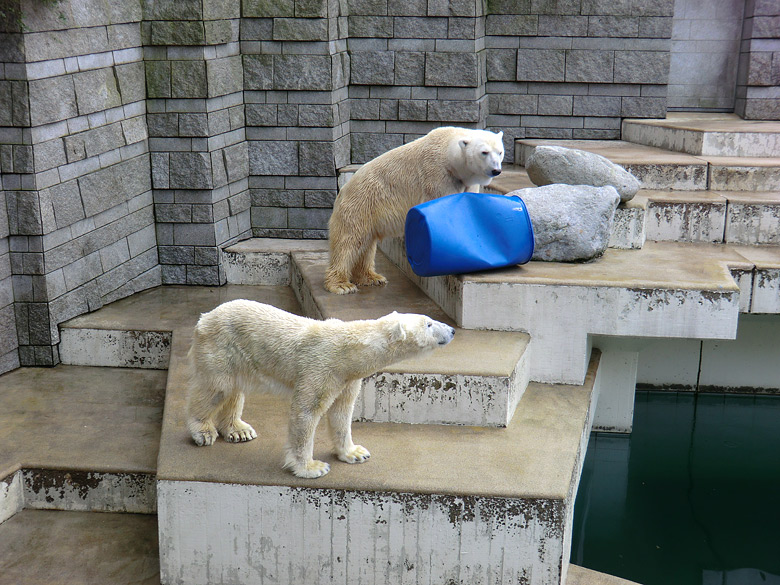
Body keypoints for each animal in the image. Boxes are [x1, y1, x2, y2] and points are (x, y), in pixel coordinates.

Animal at [186, 302, 454, 480]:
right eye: (429, 323)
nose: (451, 330)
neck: (349, 351)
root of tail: (204, 317)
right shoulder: (321, 367)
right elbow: (305, 412)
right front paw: (312, 467)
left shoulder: (346, 378)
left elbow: (342, 412)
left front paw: (355, 453)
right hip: (221, 347)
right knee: (216, 388)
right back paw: (203, 431)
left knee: (234, 389)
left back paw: (238, 430)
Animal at [322, 126, 506, 294]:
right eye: (484, 152)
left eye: (500, 152)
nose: (496, 170)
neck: (449, 152)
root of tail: (343, 190)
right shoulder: (438, 175)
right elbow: (442, 206)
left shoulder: (467, 182)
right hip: (360, 205)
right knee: (349, 242)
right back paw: (341, 284)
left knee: (365, 245)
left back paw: (371, 277)